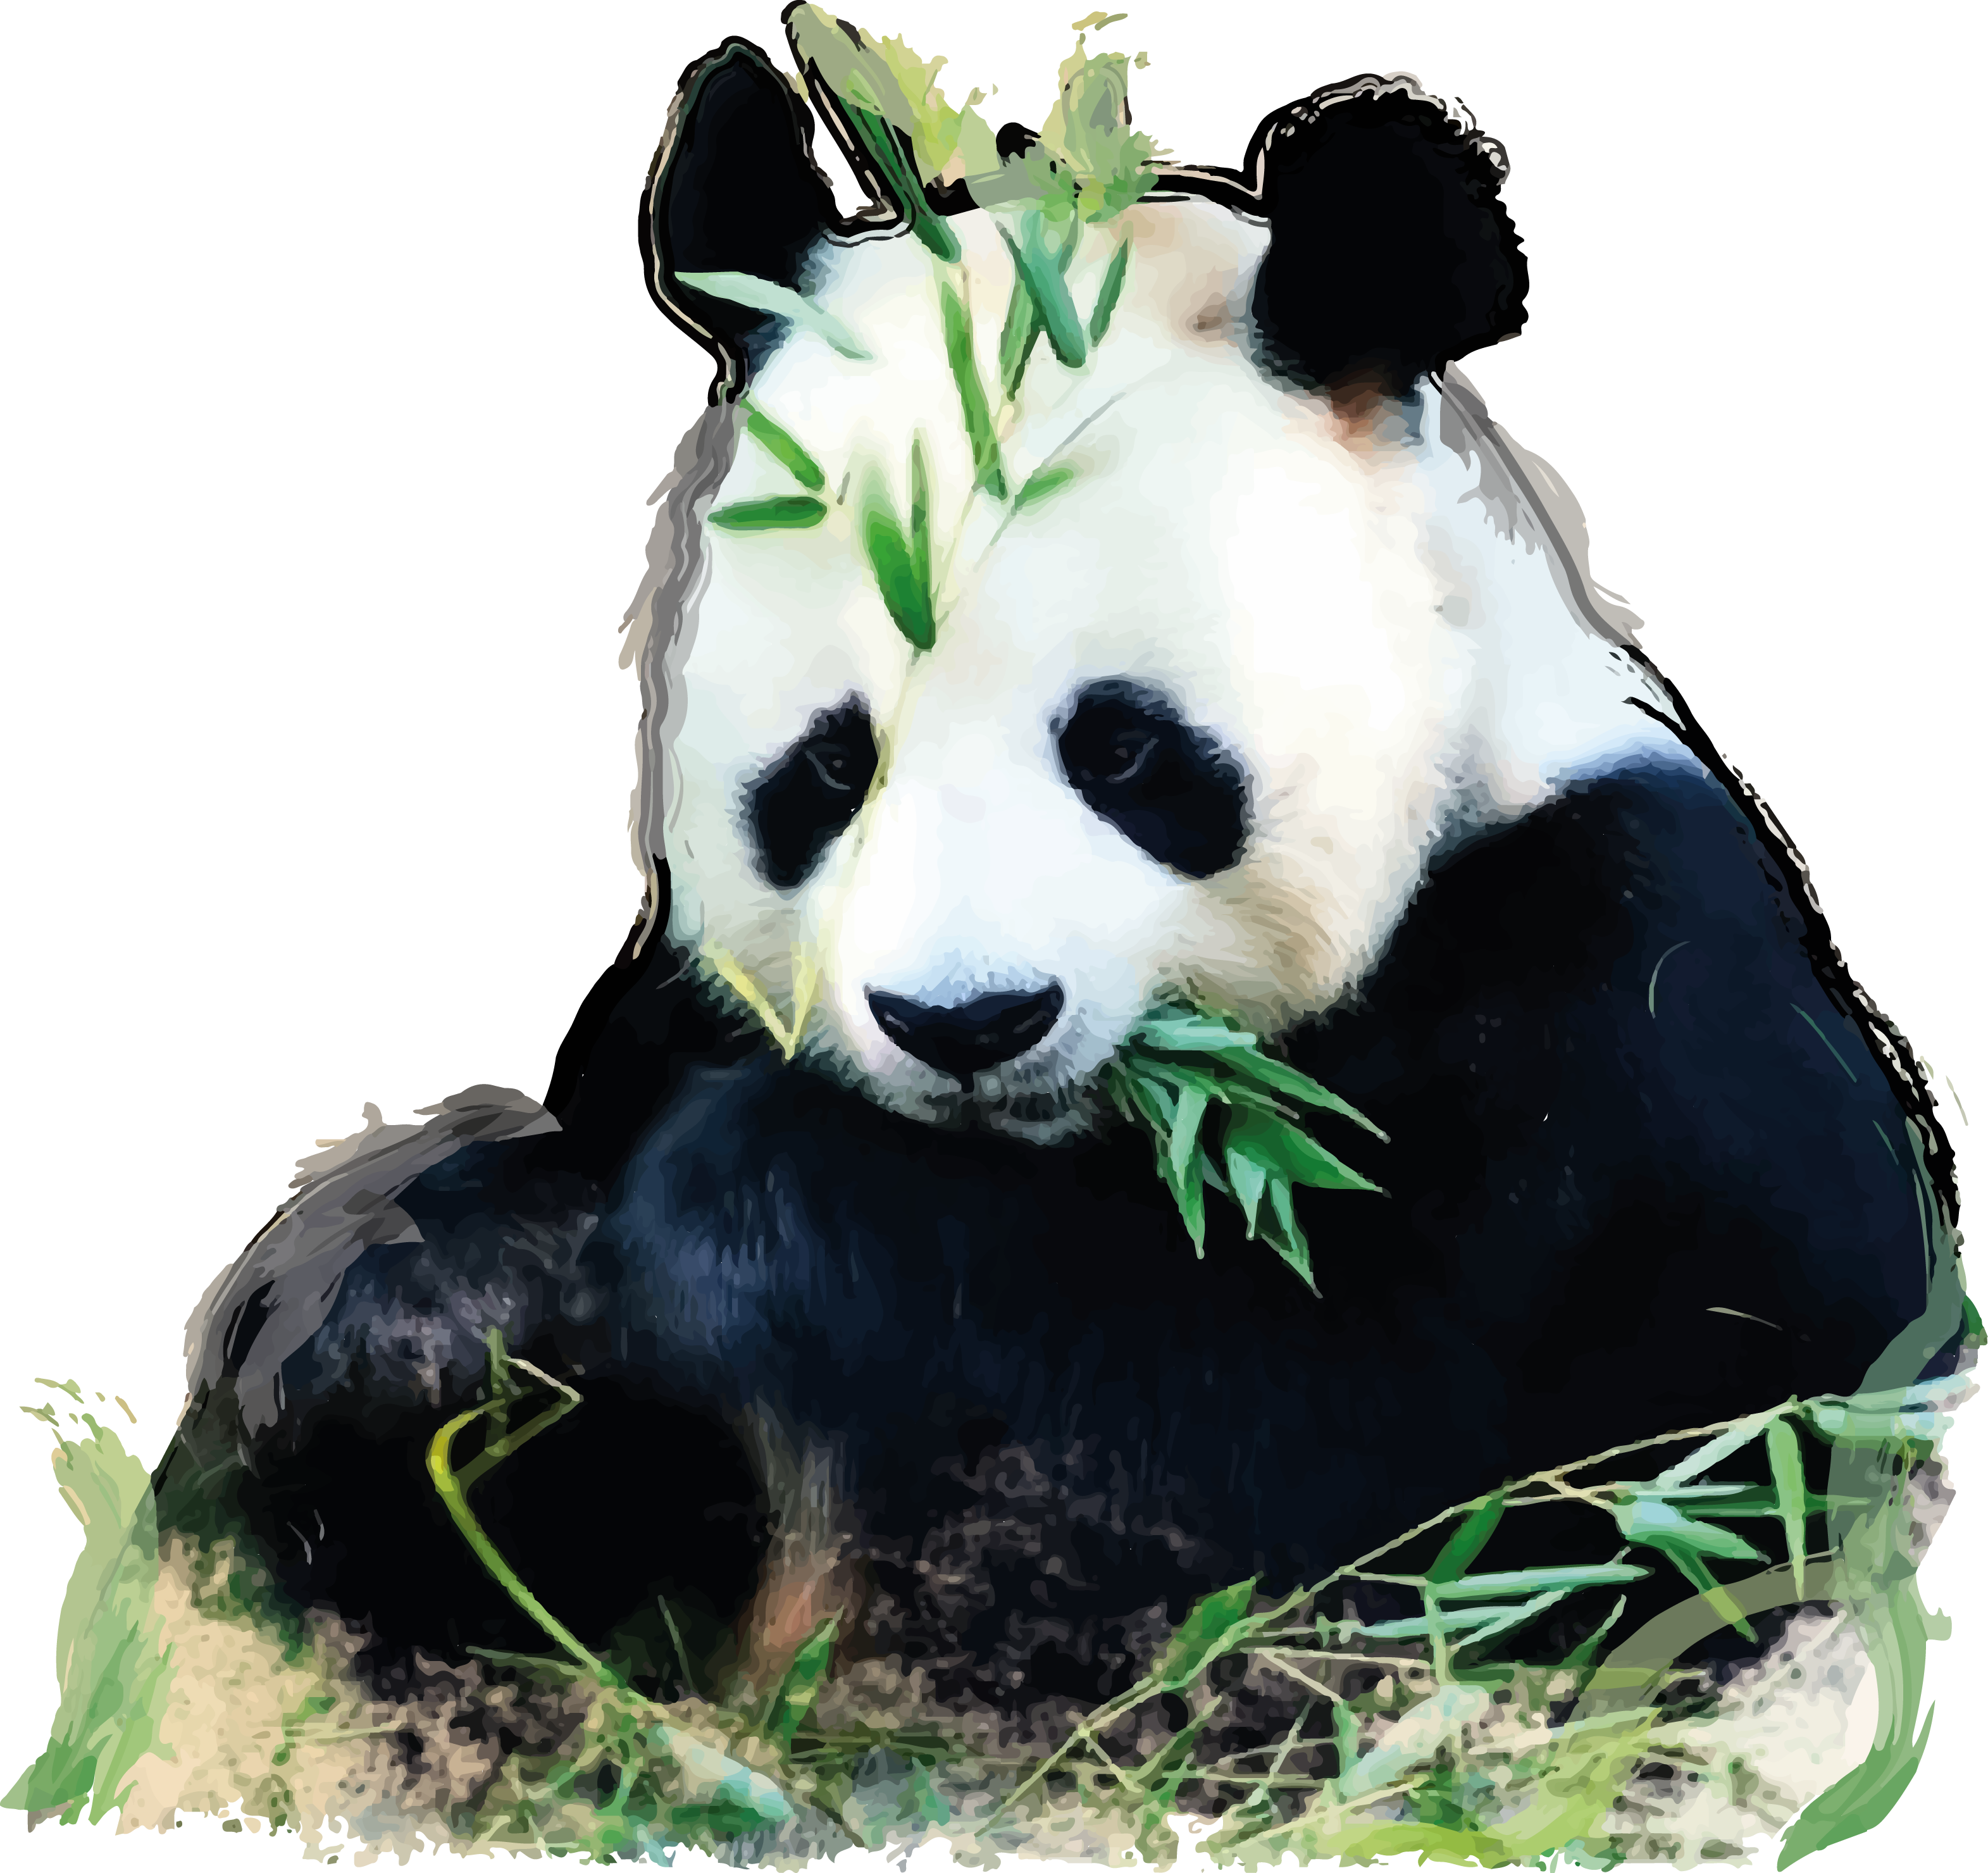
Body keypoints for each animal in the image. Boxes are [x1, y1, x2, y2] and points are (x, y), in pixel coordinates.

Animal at [155, 20, 1964, 1748]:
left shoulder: (1623, 1024)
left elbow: (1327, 1484)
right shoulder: (672, 1024)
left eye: (1124, 749)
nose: (967, 1021)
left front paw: (732, 1211)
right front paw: (415, 1302)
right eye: (830, 768)